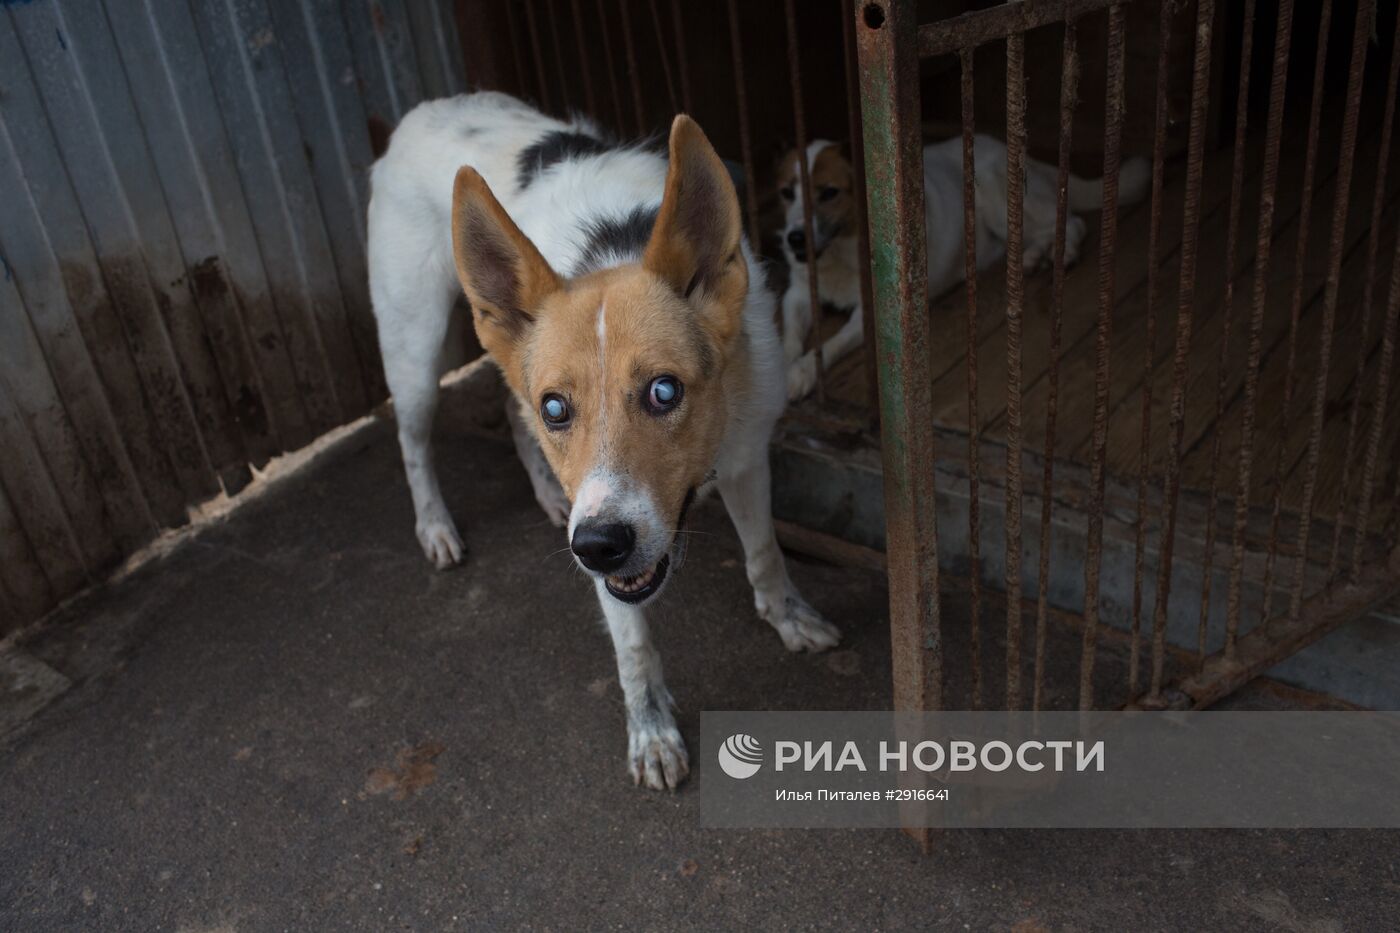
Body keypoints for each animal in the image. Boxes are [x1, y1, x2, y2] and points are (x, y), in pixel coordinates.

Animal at [366, 92, 834, 784]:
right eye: (558, 409)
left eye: (664, 392)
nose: (595, 548)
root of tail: (420, 112)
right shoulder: (599, 524)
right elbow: (633, 644)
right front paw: (651, 730)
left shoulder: (746, 454)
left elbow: (765, 553)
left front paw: (789, 617)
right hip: (415, 352)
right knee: (414, 440)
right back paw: (435, 526)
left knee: (507, 410)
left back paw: (541, 491)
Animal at [778, 137, 1148, 395]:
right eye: (786, 193)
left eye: (829, 193)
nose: (794, 239)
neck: (837, 254)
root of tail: (1016, 150)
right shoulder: (797, 293)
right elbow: (789, 331)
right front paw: (781, 362)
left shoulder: (868, 315)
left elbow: (829, 344)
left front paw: (800, 372)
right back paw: (1033, 257)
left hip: (998, 201)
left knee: (1071, 222)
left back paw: (1063, 254)